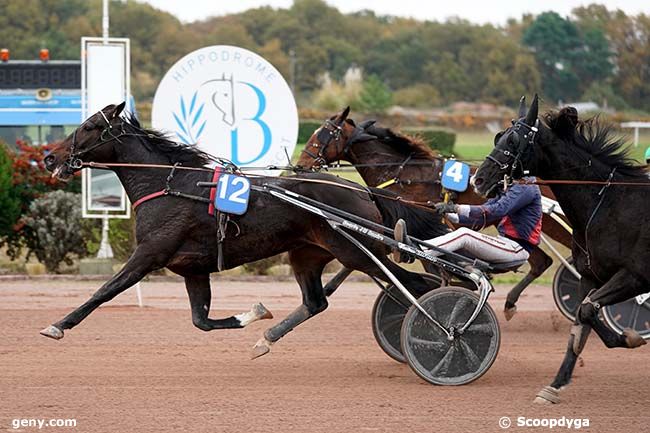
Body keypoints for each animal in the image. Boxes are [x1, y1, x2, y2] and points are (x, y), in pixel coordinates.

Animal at [40, 102, 446, 358]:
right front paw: (256, 313)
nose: (49, 157)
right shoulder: (193, 268)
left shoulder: (149, 254)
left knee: (416, 287)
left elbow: (105, 290)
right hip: (308, 253)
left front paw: (58, 325)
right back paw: (267, 339)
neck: (169, 184)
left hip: (358, 252)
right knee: (316, 302)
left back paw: (440, 332)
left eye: (89, 127)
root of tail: (363, 190)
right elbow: (202, 321)